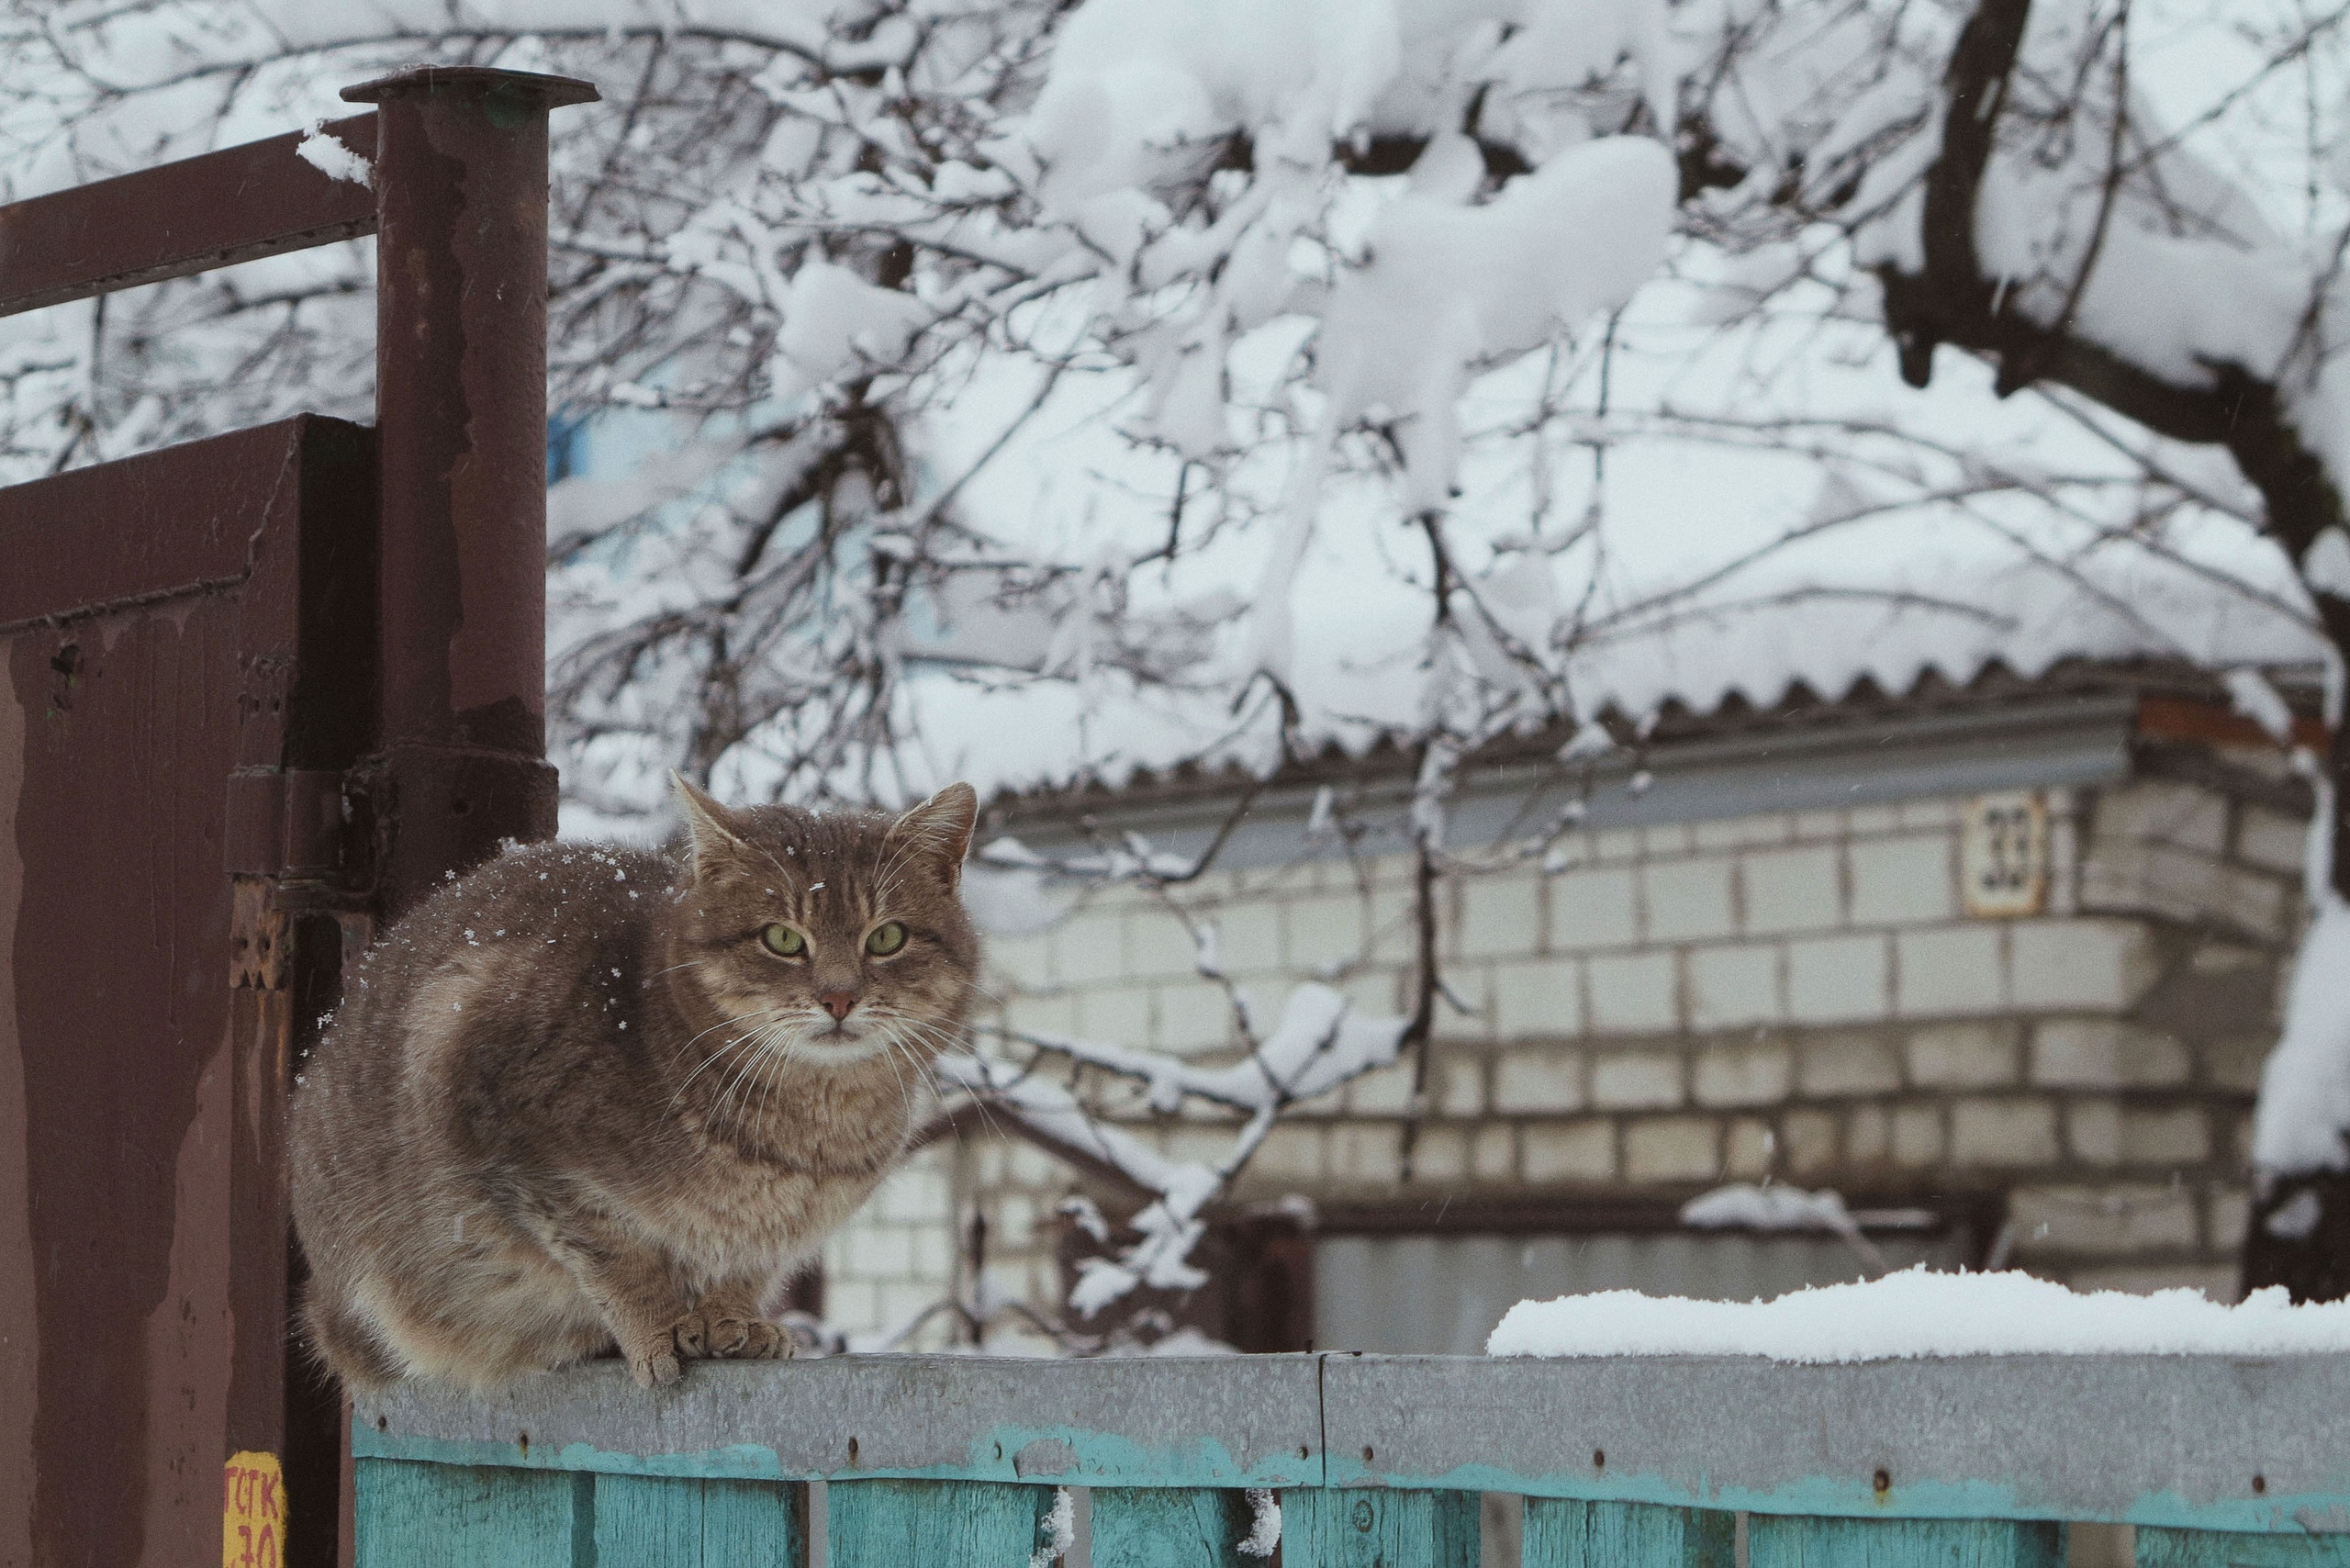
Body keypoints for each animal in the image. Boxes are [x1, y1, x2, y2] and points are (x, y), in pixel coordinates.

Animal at [288, 775, 980, 1391]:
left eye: (886, 937)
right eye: (783, 939)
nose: (838, 998)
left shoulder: (769, 1238)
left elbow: (745, 1269)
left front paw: (735, 1319)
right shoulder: (520, 1140)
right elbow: (616, 1257)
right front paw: (658, 1329)